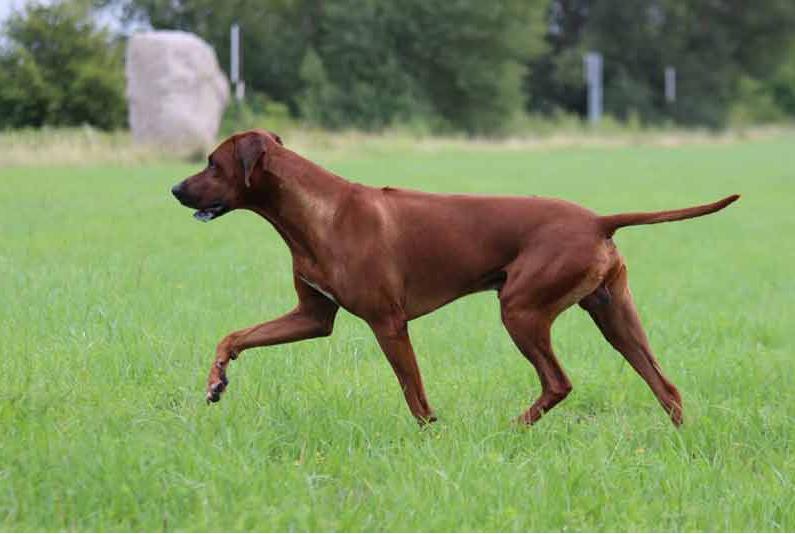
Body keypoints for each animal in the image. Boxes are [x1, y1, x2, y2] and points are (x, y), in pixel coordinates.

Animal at [171, 129, 739, 426]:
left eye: (212, 163)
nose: (175, 189)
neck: (316, 211)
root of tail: (599, 219)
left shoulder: (388, 323)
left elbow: (414, 394)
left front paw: (431, 436)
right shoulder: (312, 316)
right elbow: (234, 336)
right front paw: (216, 381)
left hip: (520, 309)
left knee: (558, 382)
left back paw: (514, 428)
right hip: (613, 313)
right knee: (665, 386)